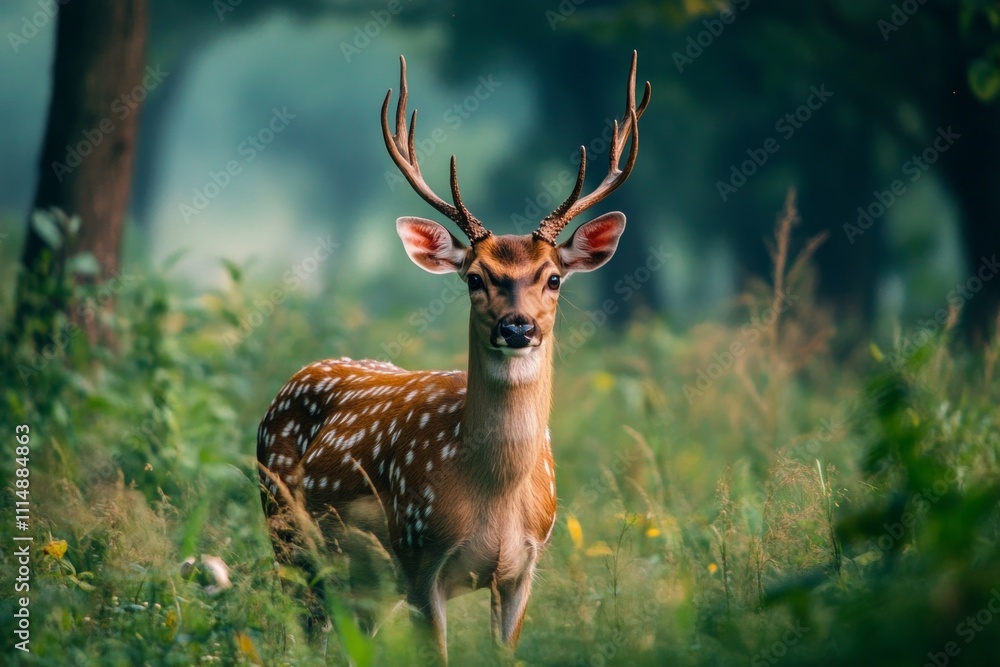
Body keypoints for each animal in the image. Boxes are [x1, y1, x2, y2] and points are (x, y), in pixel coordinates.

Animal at [257, 51, 649, 662]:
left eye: (554, 278)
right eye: (474, 278)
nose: (517, 327)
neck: (492, 494)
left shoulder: (522, 569)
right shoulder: (419, 558)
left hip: (365, 585)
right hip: (286, 530)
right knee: (300, 627)